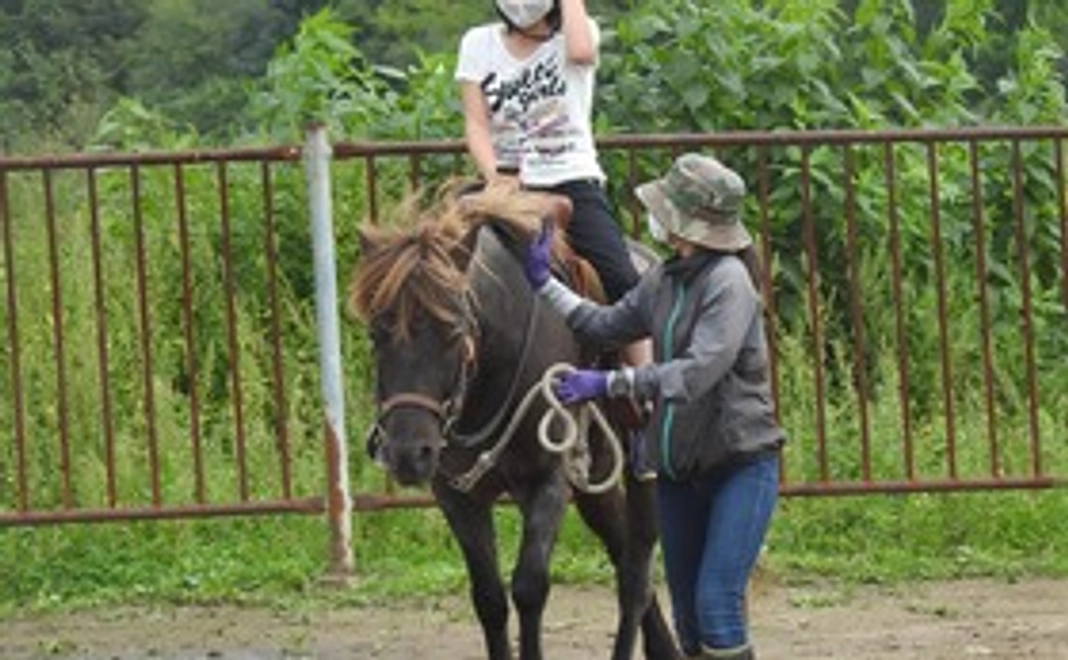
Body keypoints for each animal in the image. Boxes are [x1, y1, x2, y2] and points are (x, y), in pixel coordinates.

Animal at [347, 183, 679, 660]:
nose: (409, 453)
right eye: (377, 333)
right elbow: (488, 597)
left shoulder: (549, 481)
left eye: (453, 331)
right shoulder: (457, 496)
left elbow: (529, 587)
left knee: (635, 573)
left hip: (641, 472)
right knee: (622, 550)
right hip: (593, 480)